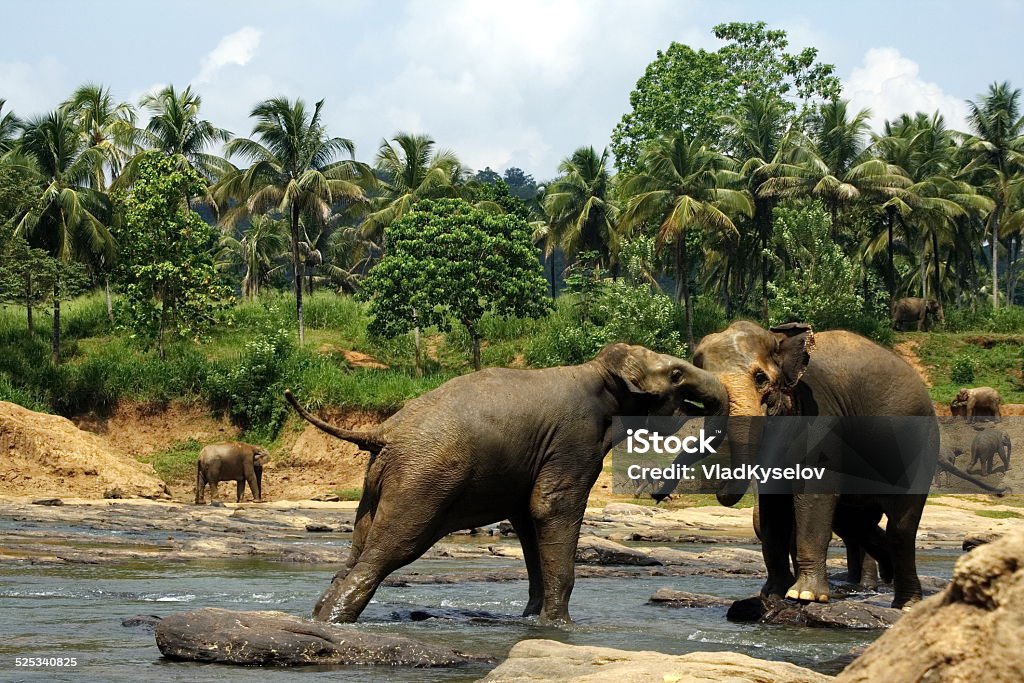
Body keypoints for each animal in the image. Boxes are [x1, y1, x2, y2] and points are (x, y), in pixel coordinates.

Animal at [282, 344, 729, 626]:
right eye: (676, 374)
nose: (657, 495)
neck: (598, 370)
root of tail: (382, 432)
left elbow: (528, 520)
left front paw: (532, 620)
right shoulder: (574, 440)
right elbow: (550, 508)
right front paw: (560, 627)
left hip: (380, 481)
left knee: (356, 552)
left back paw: (319, 617)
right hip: (422, 482)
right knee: (387, 553)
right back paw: (336, 623)